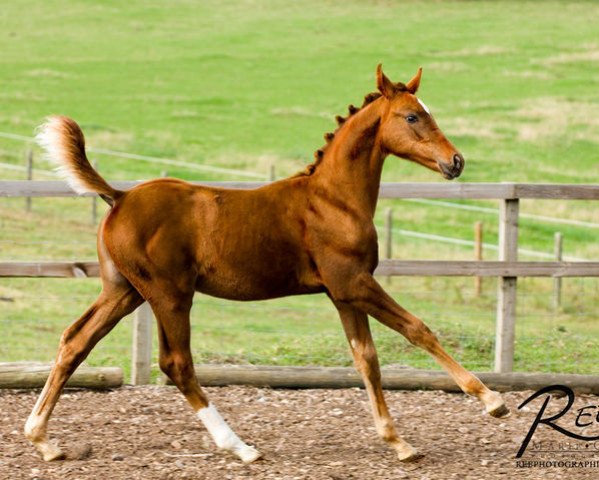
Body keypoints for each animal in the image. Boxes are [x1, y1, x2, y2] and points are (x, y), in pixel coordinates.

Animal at [25, 65, 508, 464]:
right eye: (412, 117)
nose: (456, 162)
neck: (332, 200)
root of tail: (119, 196)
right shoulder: (354, 284)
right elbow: (417, 329)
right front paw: (491, 401)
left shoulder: (342, 294)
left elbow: (366, 359)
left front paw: (398, 442)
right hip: (169, 294)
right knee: (176, 362)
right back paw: (241, 447)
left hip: (123, 291)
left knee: (76, 341)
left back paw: (43, 440)